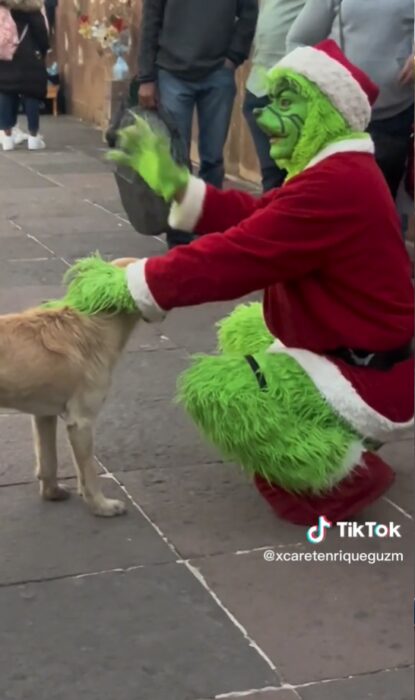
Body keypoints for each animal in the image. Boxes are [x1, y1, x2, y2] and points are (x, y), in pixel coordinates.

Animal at [0, 258, 140, 516]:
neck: (96, 324)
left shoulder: (43, 414)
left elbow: (49, 462)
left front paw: (52, 493)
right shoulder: (81, 421)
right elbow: (89, 473)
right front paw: (101, 506)